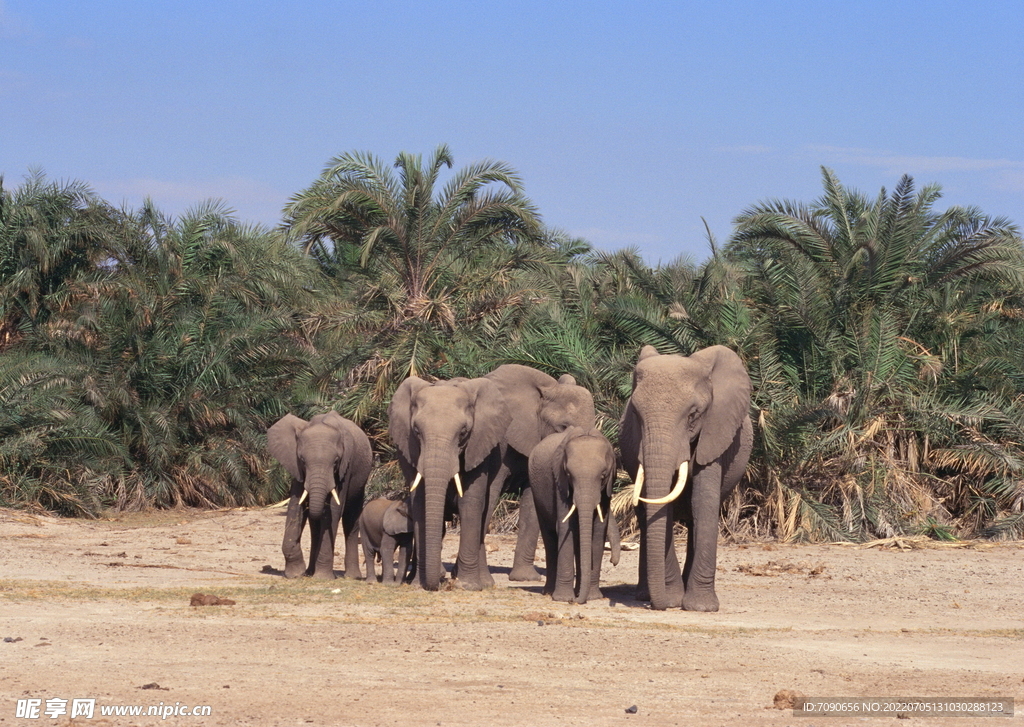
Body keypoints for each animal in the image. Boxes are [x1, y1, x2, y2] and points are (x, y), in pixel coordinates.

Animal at [268, 415, 372, 581]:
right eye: (302, 460)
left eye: (336, 461)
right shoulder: (297, 469)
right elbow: (295, 505)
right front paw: (295, 574)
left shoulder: (345, 468)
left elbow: (334, 511)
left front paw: (322, 578)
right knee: (315, 526)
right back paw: (310, 572)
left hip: (361, 479)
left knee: (350, 518)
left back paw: (352, 577)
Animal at [387, 376, 512, 593]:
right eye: (416, 431)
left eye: (463, 433)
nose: (433, 587)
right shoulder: (407, 449)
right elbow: (420, 503)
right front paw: (420, 583)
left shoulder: (478, 446)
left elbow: (470, 503)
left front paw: (467, 586)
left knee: (485, 512)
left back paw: (483, 583)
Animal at [528, 428, 622, 602]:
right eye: (569, 475)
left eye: (603, 475)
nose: (613, 562)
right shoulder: (559, 483)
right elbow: (566, 527)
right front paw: (564, 599)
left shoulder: (606, 490)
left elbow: (598, 531)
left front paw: (592, 598)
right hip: (536, 491)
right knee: (550, 537)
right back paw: (551, 592)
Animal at [614, 344, 753, 610]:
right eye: (635, 413)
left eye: (693, 414)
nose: (660, 605)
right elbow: (661, 508)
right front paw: (671, 600)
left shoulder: (715, 431)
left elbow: (703, 501)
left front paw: (701, 608)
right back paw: (645, 595)